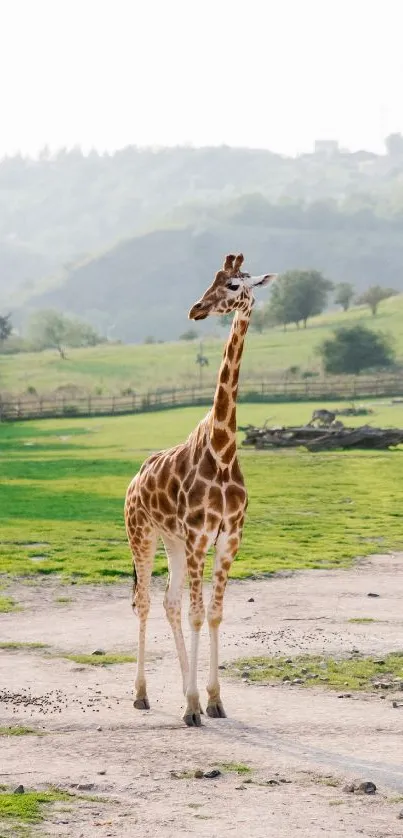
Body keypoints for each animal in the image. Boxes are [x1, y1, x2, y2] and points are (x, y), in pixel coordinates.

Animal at [125, 253, 278, 724]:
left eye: (233, 285)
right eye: (212, 280)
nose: (196, 309)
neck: (223, 451)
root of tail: (134, 479)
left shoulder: (228, 538)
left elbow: (212, 614)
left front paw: (211, 699)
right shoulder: (198, 536)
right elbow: (196, 614)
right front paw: (193, 705)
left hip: (172, 541)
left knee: (171, 603)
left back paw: (180, 688)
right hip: (142, 534)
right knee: (146, 602)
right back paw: (142, 695)